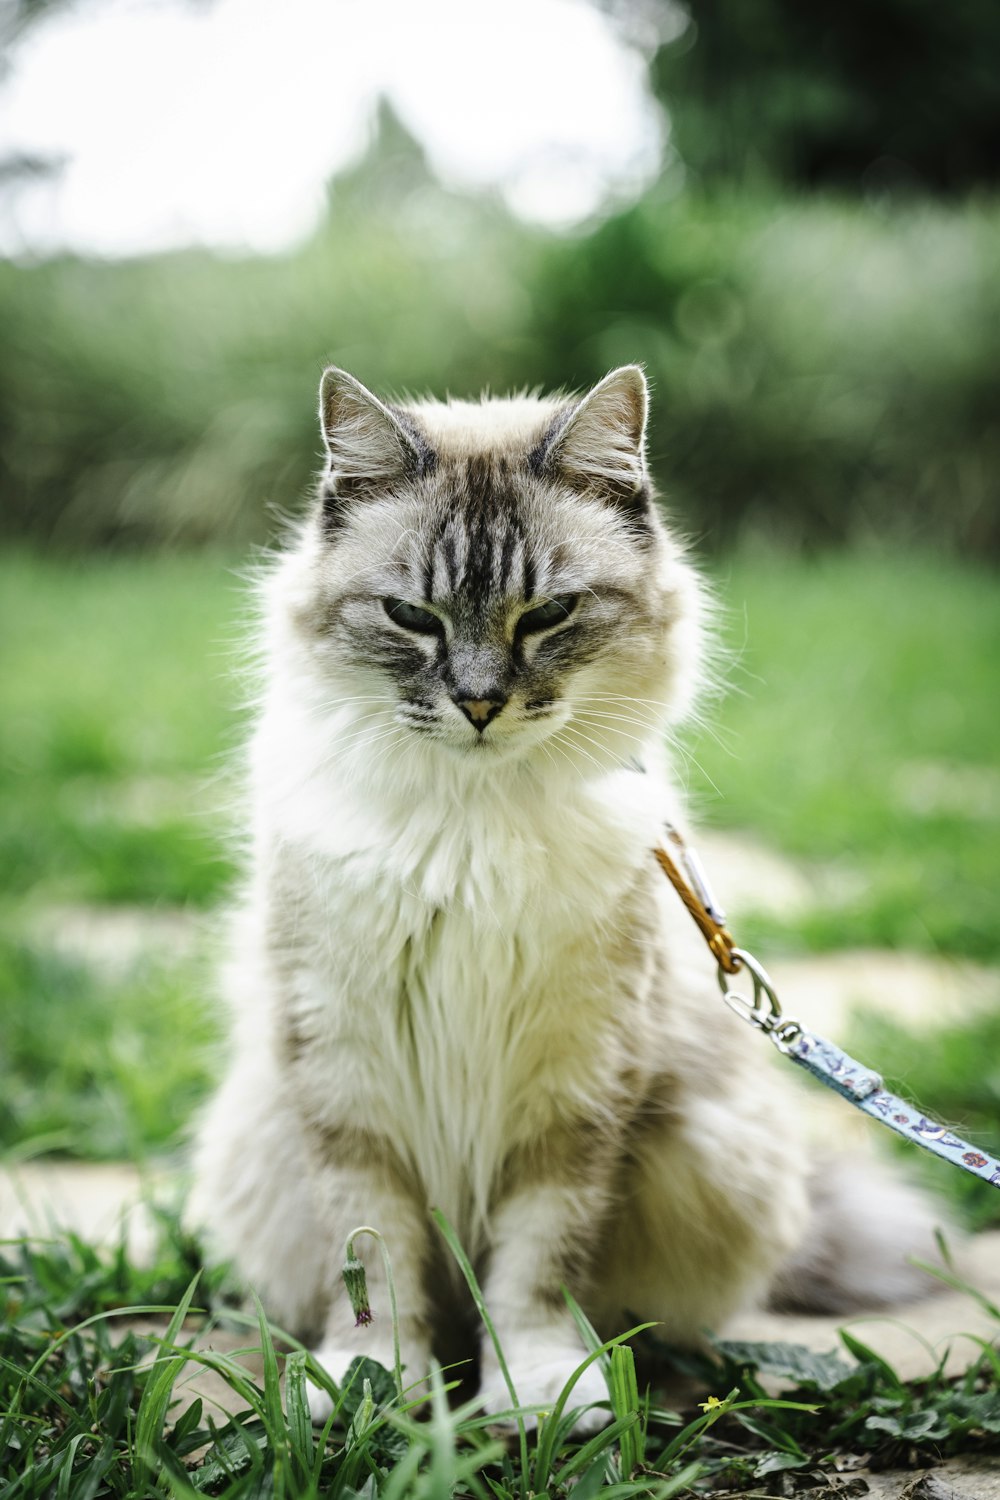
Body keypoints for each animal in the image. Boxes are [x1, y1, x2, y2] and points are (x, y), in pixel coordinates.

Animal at [189, 363, 947, 1428]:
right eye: (411, 618)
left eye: (546, 615)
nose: (478, 704)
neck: (470, 826)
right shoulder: (347, 1084)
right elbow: (374, 1268)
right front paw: (374, 1388)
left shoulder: (574, 1095)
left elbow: (536, 1268)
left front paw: (537, 1392)